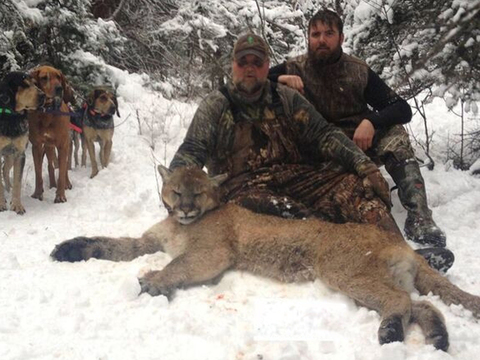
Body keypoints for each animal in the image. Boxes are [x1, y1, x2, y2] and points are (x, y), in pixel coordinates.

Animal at [0, 72, 44, 214]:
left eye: (35, 83)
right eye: (24, 85)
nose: (43, 95)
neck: (11, 116)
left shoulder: (19, 153)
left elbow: (18, 181)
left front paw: (17, 205)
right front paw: (1, 204)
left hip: (9, 155)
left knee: (5, 169)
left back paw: (9, 188)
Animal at [28, 66, 74, 204]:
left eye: (58, 76)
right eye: (44, 78)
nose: (59, 88)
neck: (47, 112)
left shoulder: (62, 145)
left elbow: (62, 171)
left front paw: (60, 196)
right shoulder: (36, 146)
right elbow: (38, 172)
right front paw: (37, 194)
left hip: (64, 144)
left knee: (64, 167)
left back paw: (66, 184)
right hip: (48, 146)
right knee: (50, 164)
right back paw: (52, 184)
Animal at [51, 166, 480, 352]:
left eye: (198, 192)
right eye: (175, 190)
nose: (186, 208)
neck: (181, 225)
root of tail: (397, 242)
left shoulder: (213, 254)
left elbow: (176, 265)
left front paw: (151, 281)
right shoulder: (146, 240)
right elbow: (110, 243)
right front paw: (69, 248)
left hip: (342, 271)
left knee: (401, 301)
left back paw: (390, 333)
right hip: (380, 277)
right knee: (422, 304)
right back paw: (437, 338)